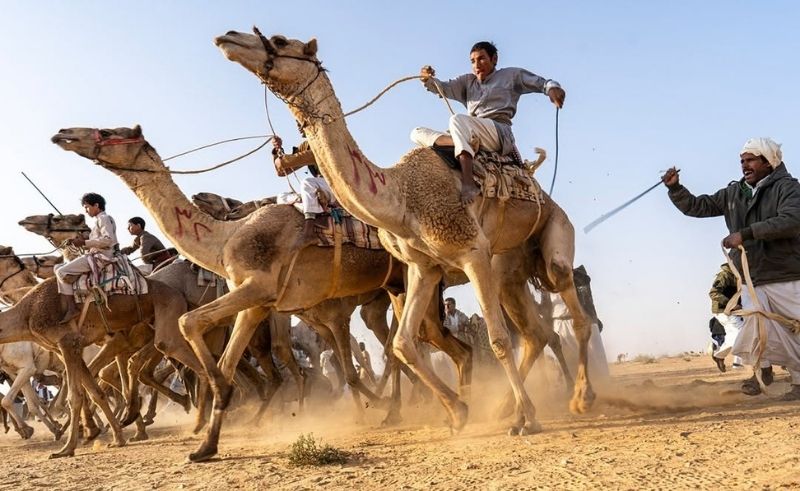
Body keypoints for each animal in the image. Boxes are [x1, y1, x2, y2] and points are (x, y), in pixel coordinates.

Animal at [214, 29, 594, 436]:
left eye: (281, 40)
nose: (228, 37)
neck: (401, 198)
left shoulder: (472, 250)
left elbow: (497, 340)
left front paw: (529, 419)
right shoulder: (423, 266)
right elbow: (403, 344)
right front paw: (459, 413)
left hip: (552, 230)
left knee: (569, 303)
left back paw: (578, 399)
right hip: (509, 266)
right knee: (535, 332)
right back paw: (506, 409)